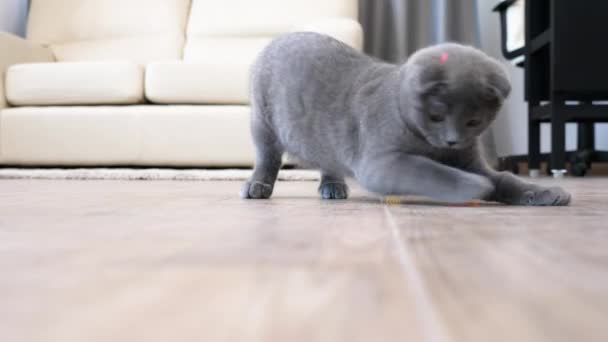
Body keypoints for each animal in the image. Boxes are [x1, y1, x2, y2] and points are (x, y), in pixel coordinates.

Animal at [241, 33, 568, 206]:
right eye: (436, 116)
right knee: (267, 159)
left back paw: (332, 187)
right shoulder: (381, 162)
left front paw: (545, 192)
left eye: (474, 122)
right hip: (263, 123)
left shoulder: (471, 159)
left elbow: (507, 178)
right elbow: (430, 171)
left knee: (327, 158)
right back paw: (257, 187)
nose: (452, 140)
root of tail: (282, 37)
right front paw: (476, 186)